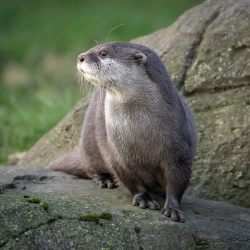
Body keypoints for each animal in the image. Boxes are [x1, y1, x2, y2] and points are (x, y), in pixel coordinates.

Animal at [47, 41, 197, 223]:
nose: (80, 57)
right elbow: (129, 178)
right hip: (89, 145)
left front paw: (173, 207)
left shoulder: (180, 149)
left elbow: (178, 181)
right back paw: (104, 180)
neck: (140, 132)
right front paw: (143, 199)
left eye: (103, 53)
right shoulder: (117, 153)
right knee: (89, 167)